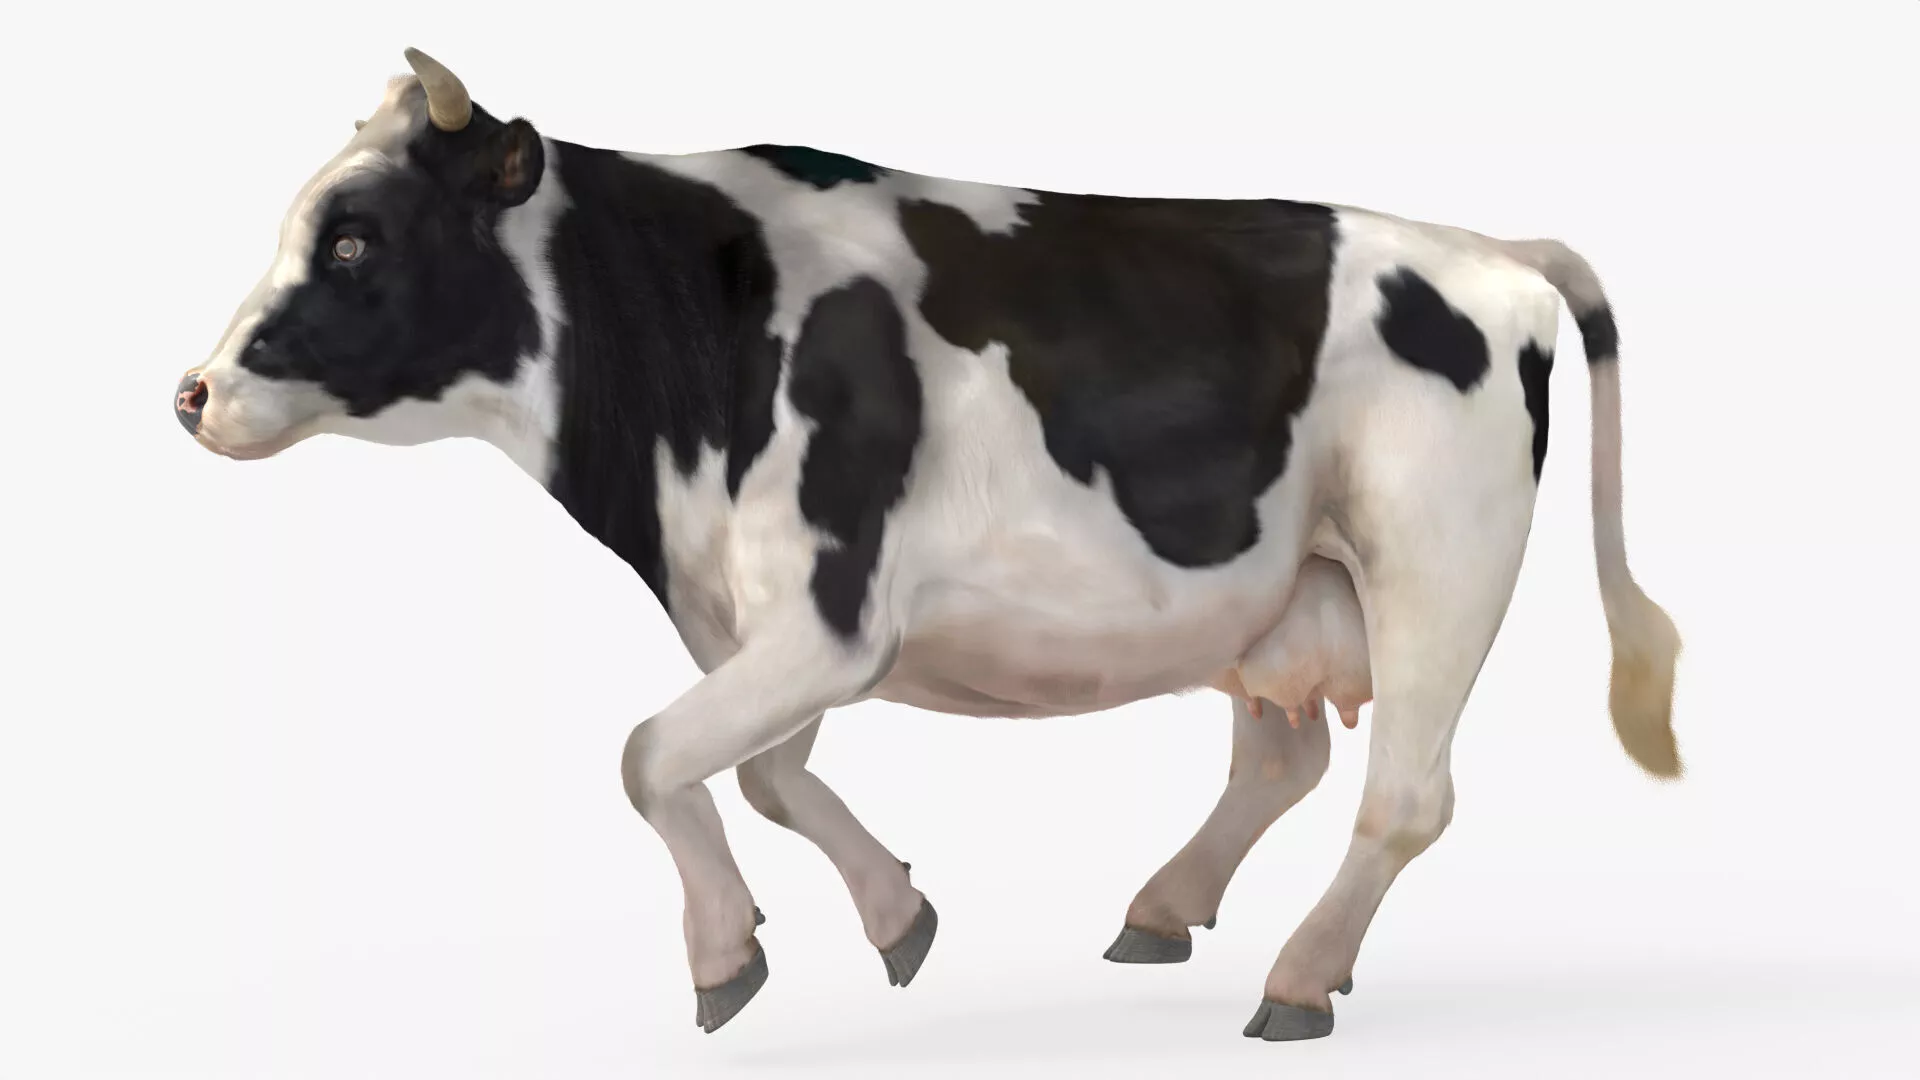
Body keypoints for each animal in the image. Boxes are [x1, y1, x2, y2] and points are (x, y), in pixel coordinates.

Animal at [174, 48, 1682, 1043]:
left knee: (1405, 796)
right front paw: (894, 915)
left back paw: (1299, 977)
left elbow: (651, 755)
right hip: (1277, 592)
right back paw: (1166, 910)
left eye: (357, 239)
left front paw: (721, 957)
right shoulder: (764, 620)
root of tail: (1487, 251)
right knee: (1284, 756)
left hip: (1436, 561)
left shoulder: (831, 613)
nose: (192, 392)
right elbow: (763, 776)